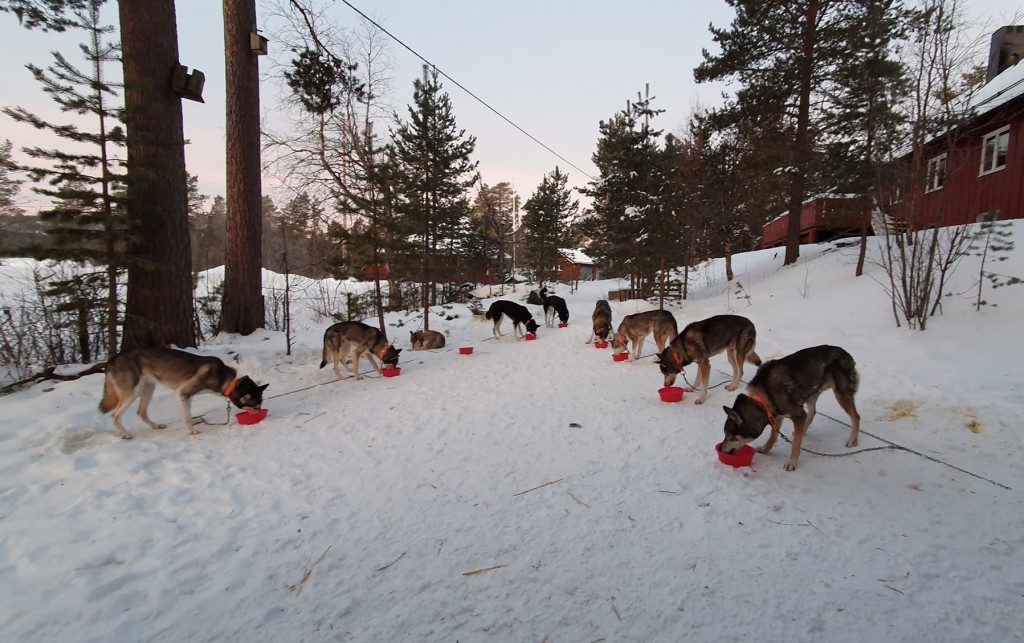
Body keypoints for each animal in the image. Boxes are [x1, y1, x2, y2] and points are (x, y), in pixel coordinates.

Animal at [97, 348, 268, 440]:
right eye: (255, 406)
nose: (261, 412)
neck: (227, 381)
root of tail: (111, 360)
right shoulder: (182, 393)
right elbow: (186, 417)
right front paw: (191, 431)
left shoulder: (187, 397)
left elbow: (187, 415)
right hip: (132, 393)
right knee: (115, 415)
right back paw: (124, 434)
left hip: (148, 389)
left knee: (141, 412)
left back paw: (155, 425)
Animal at [720, 346, 864, 473]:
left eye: (729, 436)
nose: (720, 449)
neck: (764, 397)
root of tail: (846, 354)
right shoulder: (777, 416)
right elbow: (773, 435)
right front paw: (766, 449)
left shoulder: (797, 414)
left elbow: (795, 445)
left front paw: (792, 462)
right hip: (811, 394)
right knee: (812, 413)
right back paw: (802, 430)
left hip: (841, 395)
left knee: (856, 416)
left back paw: (852, 440)